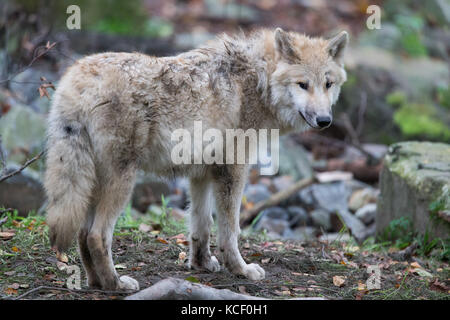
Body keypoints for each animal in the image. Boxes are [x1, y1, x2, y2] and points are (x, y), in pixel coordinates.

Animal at [44, 28, 348, 292]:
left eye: (328, 84)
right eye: (303, 85)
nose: (325, 120)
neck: (257, 80)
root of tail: (79, 80)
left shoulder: (201, 173)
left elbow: (201, 225)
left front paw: (201, 264)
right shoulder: (233, 170)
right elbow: (230, 230)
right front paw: (240, 269)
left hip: (92, 184)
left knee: (82, 235)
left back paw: (95, 283)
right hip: (122, 182)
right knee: (97, 236)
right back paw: (115, 285)